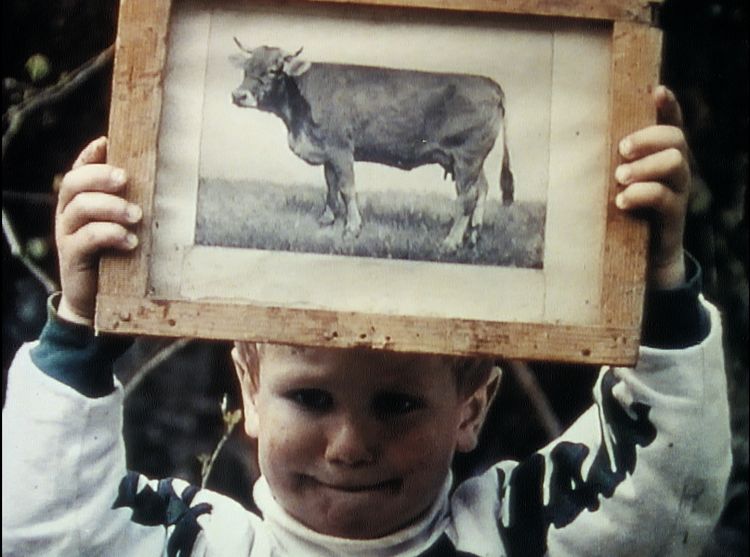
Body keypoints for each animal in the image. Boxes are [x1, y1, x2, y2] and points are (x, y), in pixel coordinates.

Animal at [232, 39, 516, 248]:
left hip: (467, 156)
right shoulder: (327, 151)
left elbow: (347, 188)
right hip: (469, 161)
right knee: (483, 189)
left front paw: (352, 228)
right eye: (246, 68)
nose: (238, 95)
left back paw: (451, 242)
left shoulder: (340, 148)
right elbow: (331, 186)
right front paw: (327, 219)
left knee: (467, 197)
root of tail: (491, 84)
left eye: (273, 70)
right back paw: (473, 235)